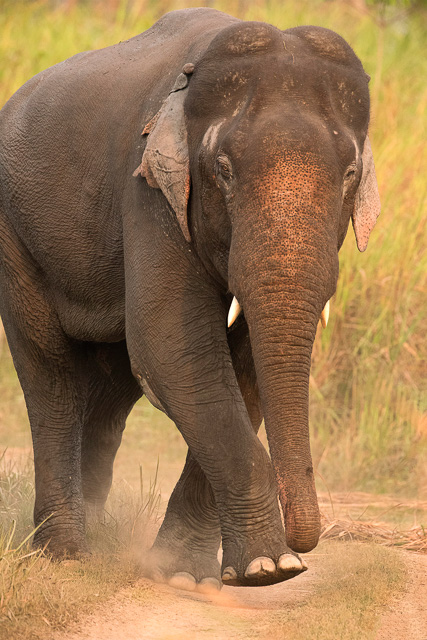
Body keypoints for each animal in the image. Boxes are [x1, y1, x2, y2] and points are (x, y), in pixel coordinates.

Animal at [0, 8, 380, 591]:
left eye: (350, 174)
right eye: (222, 170)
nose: (305, 546)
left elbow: (239, 366)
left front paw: (193, 576)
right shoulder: (149, 191)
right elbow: (175, 350)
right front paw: (270, 570)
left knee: (112, 388)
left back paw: (100, 533)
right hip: (16, 236)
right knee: (51, 373)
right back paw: (66, 554)